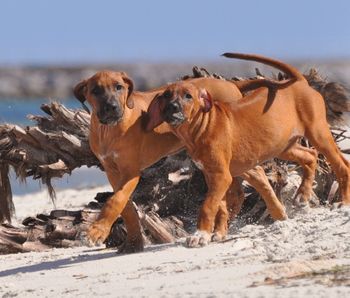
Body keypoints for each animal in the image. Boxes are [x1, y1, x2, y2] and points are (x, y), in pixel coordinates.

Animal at [72, 71, 288, 251]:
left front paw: (96, 231)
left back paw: (277, 213)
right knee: (238, 189)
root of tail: (231, 83)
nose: (112, 107)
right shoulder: (113, 172)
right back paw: (225, 227)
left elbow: (115, 201)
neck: (109, 130)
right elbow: (126, 207)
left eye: (119, 87)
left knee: (257, 175)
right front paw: (133, 243)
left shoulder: (131, 172)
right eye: (95, 90)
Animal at [146, 53, 350, 247]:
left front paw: (200, 235)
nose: (172, 107)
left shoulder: (221, 176)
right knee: (310, 156)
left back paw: (343, 203)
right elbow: (219, 205)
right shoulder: (211, 175)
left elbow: (207, 206)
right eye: (166, 95)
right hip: (283, 145)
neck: (201, 126)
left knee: (341, 164)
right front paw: (218, 233)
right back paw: (302, 195)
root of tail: (299, 81)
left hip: (318, 133)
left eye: (188, 96)